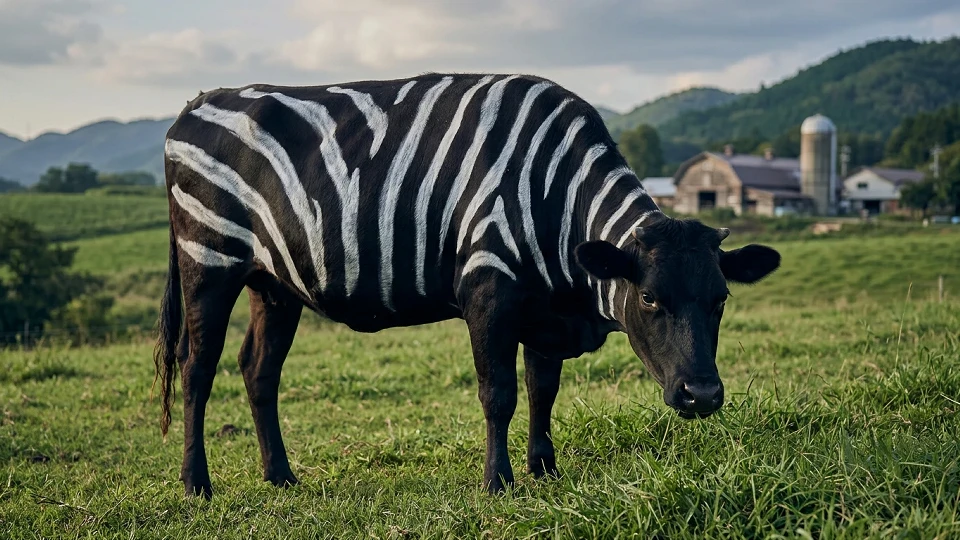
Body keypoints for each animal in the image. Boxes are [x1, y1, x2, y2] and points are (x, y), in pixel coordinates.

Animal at [153, 72, 781, 497]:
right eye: (649, 299)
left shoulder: (544, 310)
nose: (704, 396)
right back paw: (195, 483)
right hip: (209, 262)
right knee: (197, 368)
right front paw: (499, 481)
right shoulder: (489, 288)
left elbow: (543, 390)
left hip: (275, 285)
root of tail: (196, 102)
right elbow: (498, 393)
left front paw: (544, 469)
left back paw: (280, 476)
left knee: (258, 370)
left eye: (721, 301)